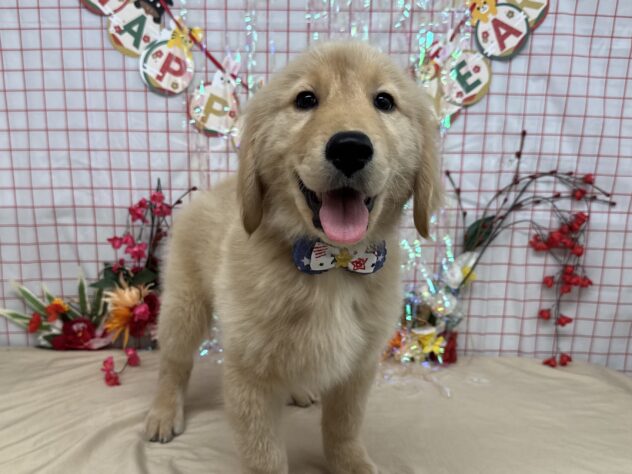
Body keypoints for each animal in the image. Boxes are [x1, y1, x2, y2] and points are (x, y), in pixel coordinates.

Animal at [144, 41, 441, 474]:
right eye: (305, 100)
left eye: (384, 101)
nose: (350, 148)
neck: (332, 263)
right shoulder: (249, 372)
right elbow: (264, 454)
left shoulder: (358, 366)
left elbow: (343, 426)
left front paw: (350, 462)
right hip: (185, 305)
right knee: (173, 363)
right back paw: (164, 412)